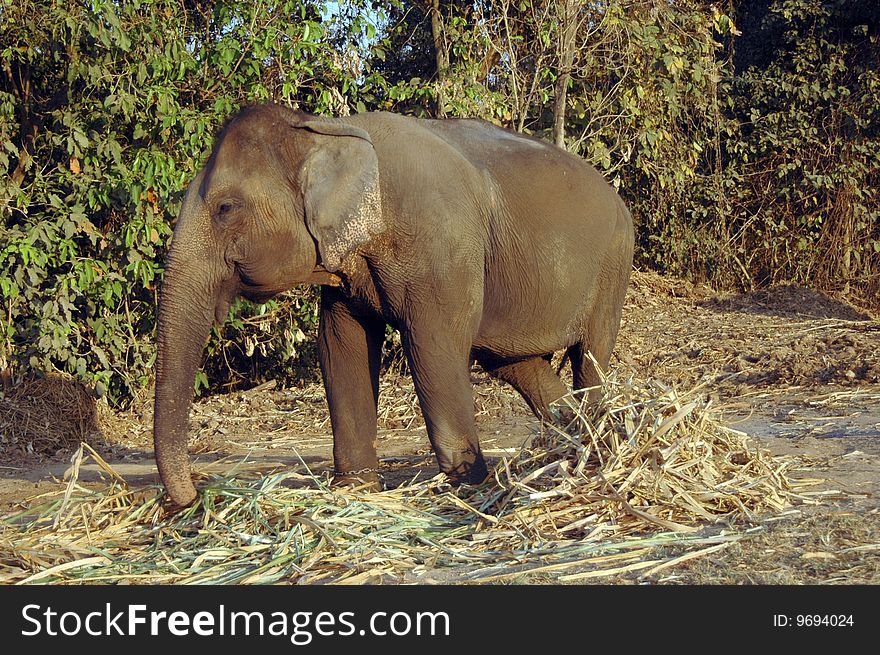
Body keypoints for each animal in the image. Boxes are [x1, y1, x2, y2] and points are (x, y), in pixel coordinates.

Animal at [153, 105, 632, 508]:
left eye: (225, 208)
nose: (195, 495)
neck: (326, 129)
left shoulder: (441, 248)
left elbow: (432, 349)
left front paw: (468, 487)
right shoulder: (347, 269)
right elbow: (341, 347)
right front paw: (355, 489)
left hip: (613, 267)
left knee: (589, 357)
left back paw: (595, 441)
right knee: (512, 362)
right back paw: (572, 440)